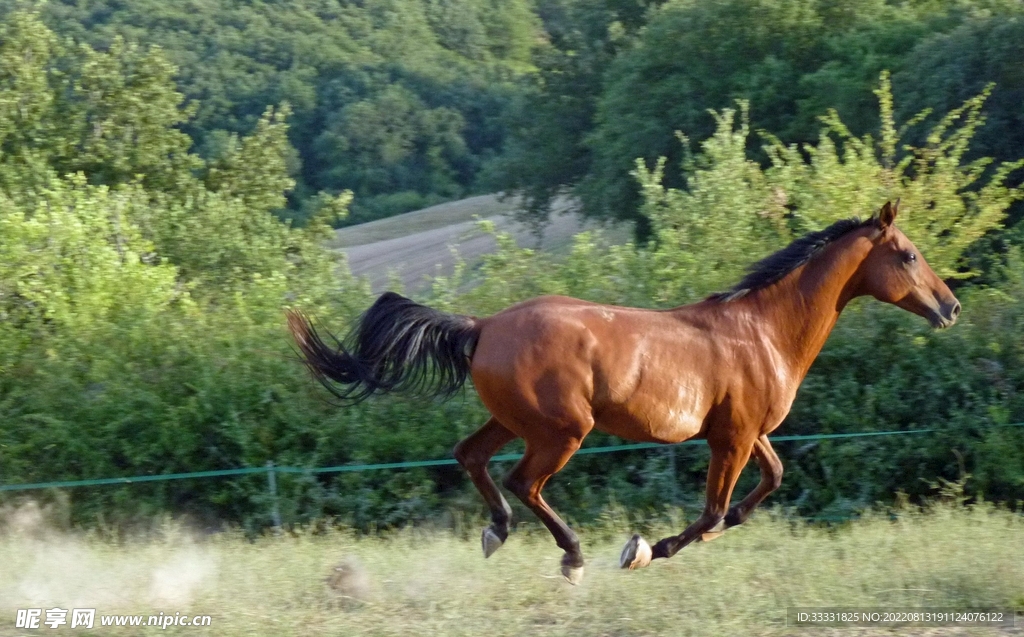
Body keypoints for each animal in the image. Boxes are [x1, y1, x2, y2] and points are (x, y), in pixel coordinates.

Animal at [288, 201, 960, 584]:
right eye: (908, 255)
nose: (950, 308)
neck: (763, 332)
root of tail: (482, 326)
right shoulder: (732, 438)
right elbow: (713, 509)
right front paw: (644, 549)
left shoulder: (748, 434)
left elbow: (767, 483)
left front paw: (700, 536)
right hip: (563, 431)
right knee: (522, 482)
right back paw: (573, 557)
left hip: (514, 421)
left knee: (471, 457)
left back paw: (496, 533)